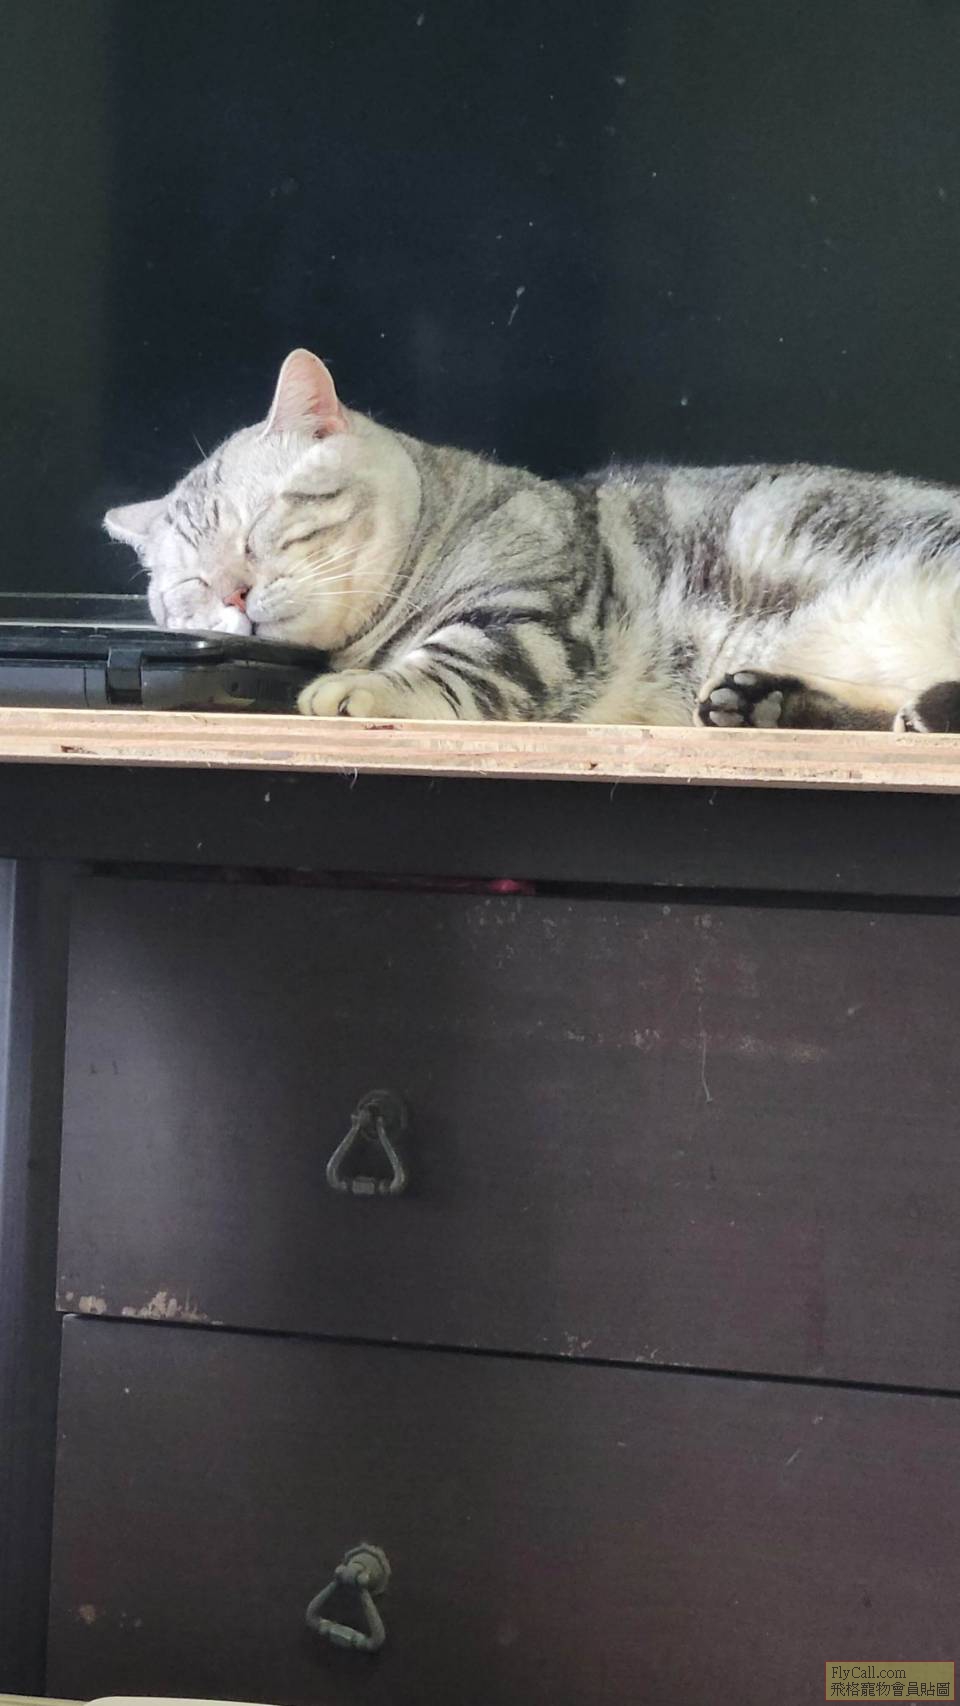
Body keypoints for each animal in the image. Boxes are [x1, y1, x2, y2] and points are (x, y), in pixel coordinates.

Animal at [104, 346, 960, 733]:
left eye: (259, 530)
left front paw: (360, 690)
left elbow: (439, 666)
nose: (232, 593)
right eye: (189, 584)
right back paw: (765, 704)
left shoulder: (531, 620)